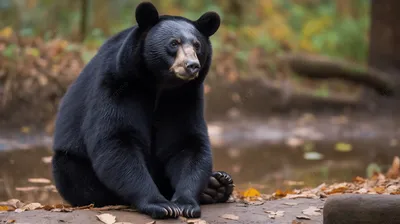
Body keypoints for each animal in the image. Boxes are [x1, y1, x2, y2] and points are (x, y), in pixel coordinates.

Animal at [52, 0, 234, 220]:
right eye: (174, 43)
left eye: (197, 45)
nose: (192, 66)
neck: (160, 84)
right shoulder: (118, 85)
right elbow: (117, 140)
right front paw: (161, 205)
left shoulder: (184, 97)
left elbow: (186, 142)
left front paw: (186, 203)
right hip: (69, 162)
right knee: (76, 175)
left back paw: (217, 184)